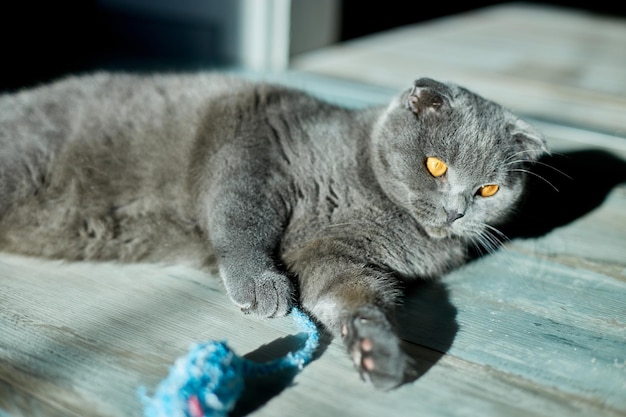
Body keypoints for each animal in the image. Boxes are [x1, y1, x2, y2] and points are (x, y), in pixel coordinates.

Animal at [0, 72, 544, 390]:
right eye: (435, 166)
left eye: (489, 190)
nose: (456, 212)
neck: (367, 197)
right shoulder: (254, 145)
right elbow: (243, 219)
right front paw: (261, 286)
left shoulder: (335, 255)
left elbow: (354, 297)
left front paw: (376, 350)